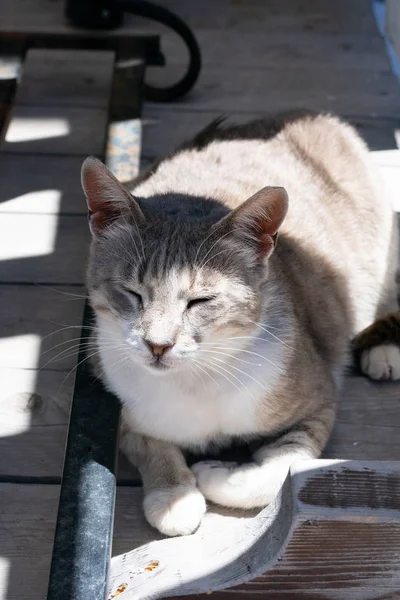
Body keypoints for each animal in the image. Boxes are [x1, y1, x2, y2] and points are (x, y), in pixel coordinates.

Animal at [81, 110, 400, 536]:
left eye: (200, 301)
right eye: (132, 293)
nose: (158, 345)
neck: (194, 380)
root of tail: (313, 116)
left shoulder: (320, 402)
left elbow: (277, 474)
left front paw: (215, 473)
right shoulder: (119, 406)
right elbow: (151, 445)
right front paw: (173, 496)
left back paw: (384, 348)